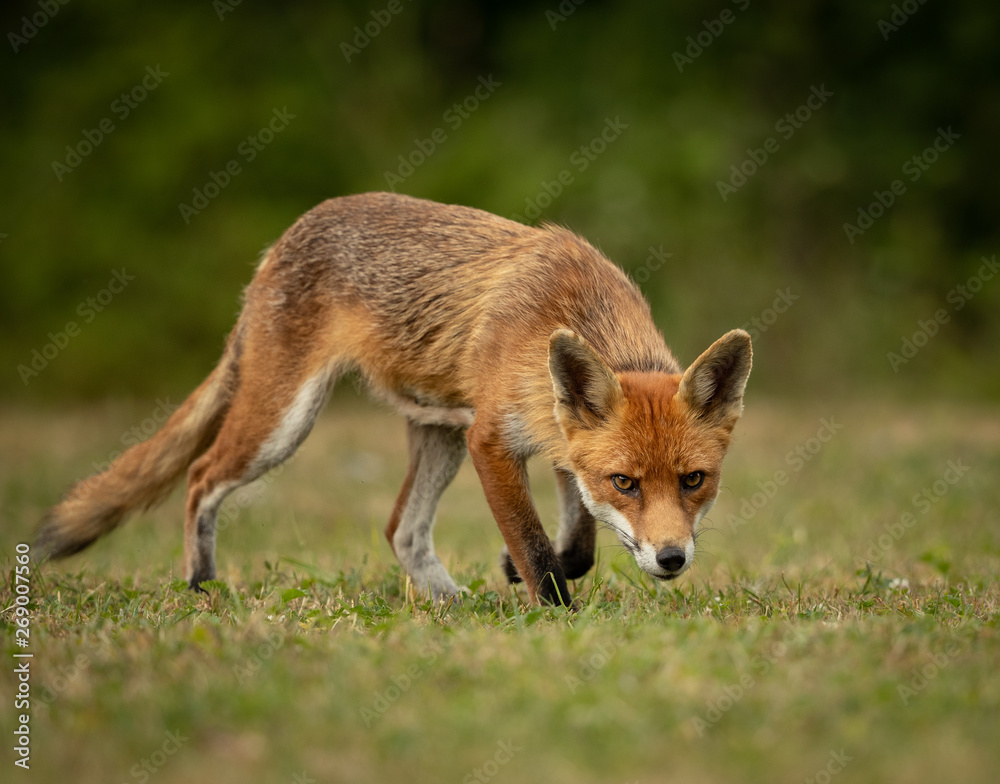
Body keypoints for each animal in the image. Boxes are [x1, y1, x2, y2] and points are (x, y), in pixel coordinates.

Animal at [37, 191, 752, 608]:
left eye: (694, 480)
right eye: (626, 483)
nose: (671, 558)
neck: (561, 315)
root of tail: (285, 237)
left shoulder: (556, 438)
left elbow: (575, 543)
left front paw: (516, 572)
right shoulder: (493, 439)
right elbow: (537, 548)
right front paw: (554, 616)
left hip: (437, 433)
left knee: (400, 529)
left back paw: (447, 601)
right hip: (285, 422)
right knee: (200, 475)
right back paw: (200, 583)